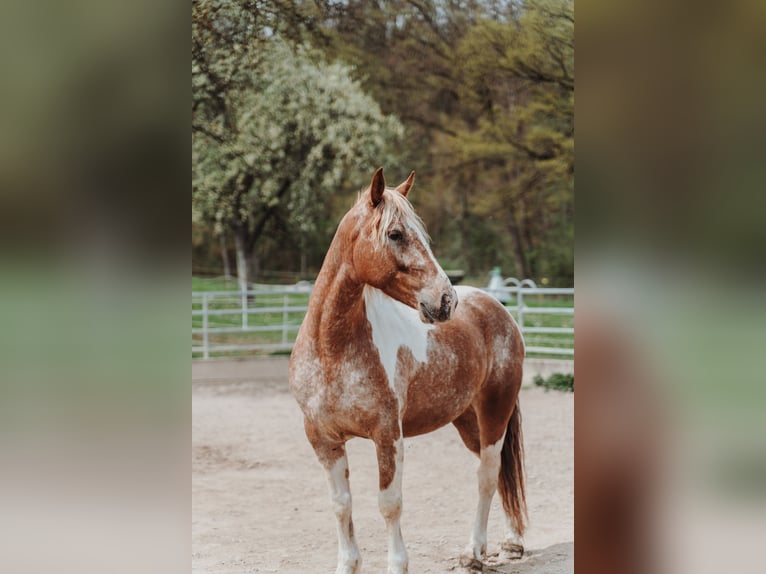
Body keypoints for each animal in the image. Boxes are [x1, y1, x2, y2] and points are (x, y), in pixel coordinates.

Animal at [288, 169, 528, 572]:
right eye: (396, 234)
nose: (446, 300)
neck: (330, 351)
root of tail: (497, 308)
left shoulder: (388, 436)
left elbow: (389, 505)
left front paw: (397, 564)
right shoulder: (323, 439)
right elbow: (341, 506)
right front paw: (347, 563)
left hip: (495, 412)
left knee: (487, 474)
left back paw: (475, 551)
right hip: (467, 420)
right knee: (499, 473)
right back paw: (511, 544)